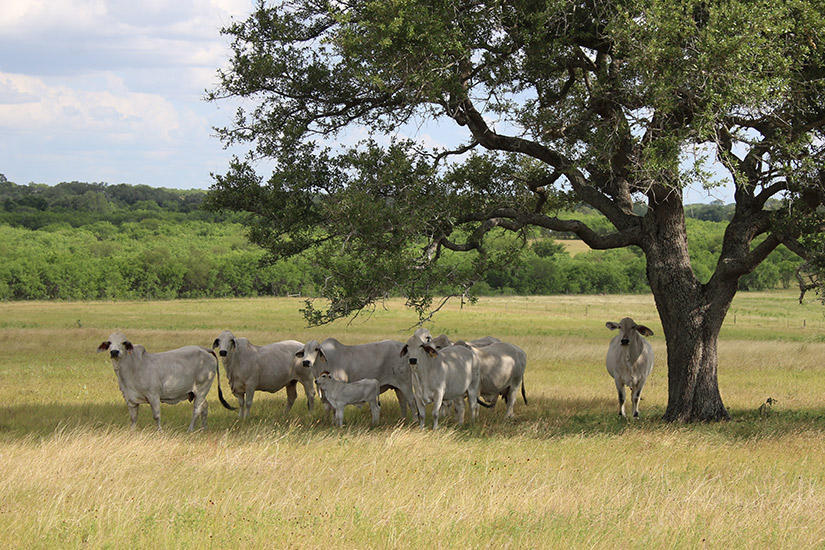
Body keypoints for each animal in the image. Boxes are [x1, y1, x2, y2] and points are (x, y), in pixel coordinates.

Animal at [99, 332, 238, 432]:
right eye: (110, 343)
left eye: (123, 343)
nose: (114, 352)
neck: (131, 368)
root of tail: (204, 349)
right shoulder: (130, 399)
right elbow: (133, 417)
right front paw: (132, 432)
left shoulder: (153, 395)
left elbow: (156, 415)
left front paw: (159, 431)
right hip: (197, 393)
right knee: (204, 407)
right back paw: (204, 429)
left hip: (202, 389)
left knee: (197, 409)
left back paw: (190, 429)